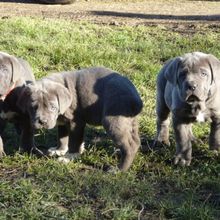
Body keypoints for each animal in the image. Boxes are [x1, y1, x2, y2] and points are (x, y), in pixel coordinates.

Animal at [15, 67, 143, 172]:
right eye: (33, 107)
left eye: (53, 107)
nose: (42, 122)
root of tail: (136, 99)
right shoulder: (63, 122)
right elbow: (63, 137)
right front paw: (59, 150)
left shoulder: (76, 122)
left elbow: (74, 141)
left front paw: (69, 157)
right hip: (130, 121)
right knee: (135, 141)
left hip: (113, 122)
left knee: (129, 146)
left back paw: (118, 169)